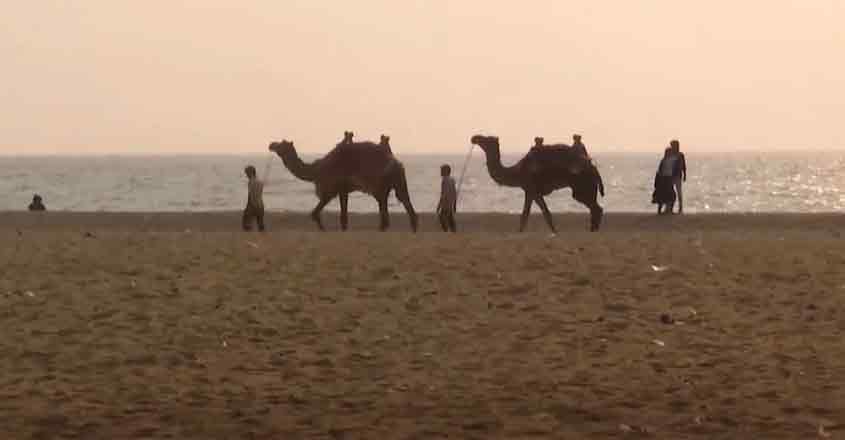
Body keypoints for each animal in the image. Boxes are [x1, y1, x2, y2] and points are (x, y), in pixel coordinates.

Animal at [268, 139, 418, 232]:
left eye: (282, 144)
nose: (271, 145)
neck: (316, 169)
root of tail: (397, 162)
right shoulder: (343, 190)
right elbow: (343, 216)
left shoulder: (330, 190)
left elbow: (315, 213)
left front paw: (323, 229)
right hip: (396, 182)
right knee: (402, 200)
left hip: (382, 183)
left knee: (389, 203)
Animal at [470, 135, 605, 232]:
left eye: (487, 139)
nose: (474, 138)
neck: (517, 171)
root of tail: (593, 167)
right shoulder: (530, 192)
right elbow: (532, 214)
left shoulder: (532, 189)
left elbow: (536, 213)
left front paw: (554, 231)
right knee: (596, 208)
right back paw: (593, 229)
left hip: (582, 186)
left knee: (596, 208)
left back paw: (593, 230)